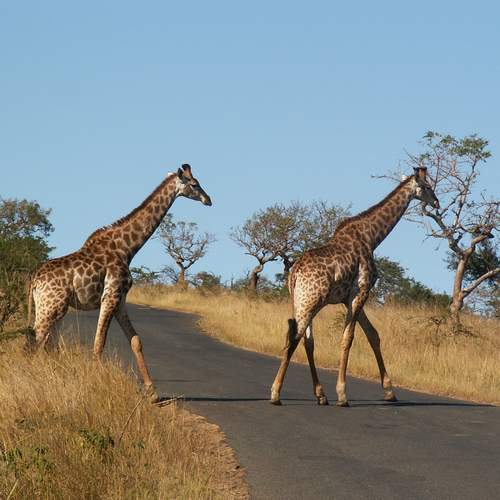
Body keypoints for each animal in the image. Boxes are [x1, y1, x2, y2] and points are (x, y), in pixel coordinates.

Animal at [28, 164, 211, 402]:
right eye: (195, 184)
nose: (208, 199)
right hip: (51, 307)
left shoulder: (121, 299)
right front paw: (95, 386)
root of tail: (34, 280)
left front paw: (152, 392)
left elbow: (135, 340)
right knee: (36, 341)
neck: (127, 248)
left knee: (45, 343)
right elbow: (99, 344)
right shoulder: (111, 295)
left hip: (53, 309)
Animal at [270, 167, 438, 406]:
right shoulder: (361, 291)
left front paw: (389, 392)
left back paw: (320, 395)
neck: (372, 237)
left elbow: (372, 335)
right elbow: (348, 338)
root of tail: (294, 273)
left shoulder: (348, 297)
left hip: (301, 302)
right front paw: (342, 394)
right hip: (310, 302)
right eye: (427, 186)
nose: (436, 202)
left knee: (307, 341)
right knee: (294, 337)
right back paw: (275, 393)